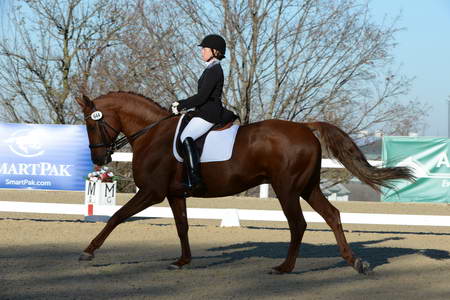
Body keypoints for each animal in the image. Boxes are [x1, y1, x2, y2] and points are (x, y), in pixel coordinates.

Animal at [75, 91, 414, 274]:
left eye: (92, 123)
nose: (100, 159)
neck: (152, 134)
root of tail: (305, 128)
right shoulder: (174, 194)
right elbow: (182, 227)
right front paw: (183, 261)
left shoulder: (152, 192)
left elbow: (117, 216)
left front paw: (88, 252)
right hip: (307, 187)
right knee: (332, 215)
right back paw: (355, 262)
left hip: (287, 188)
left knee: (299, 224)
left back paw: (284, 268)